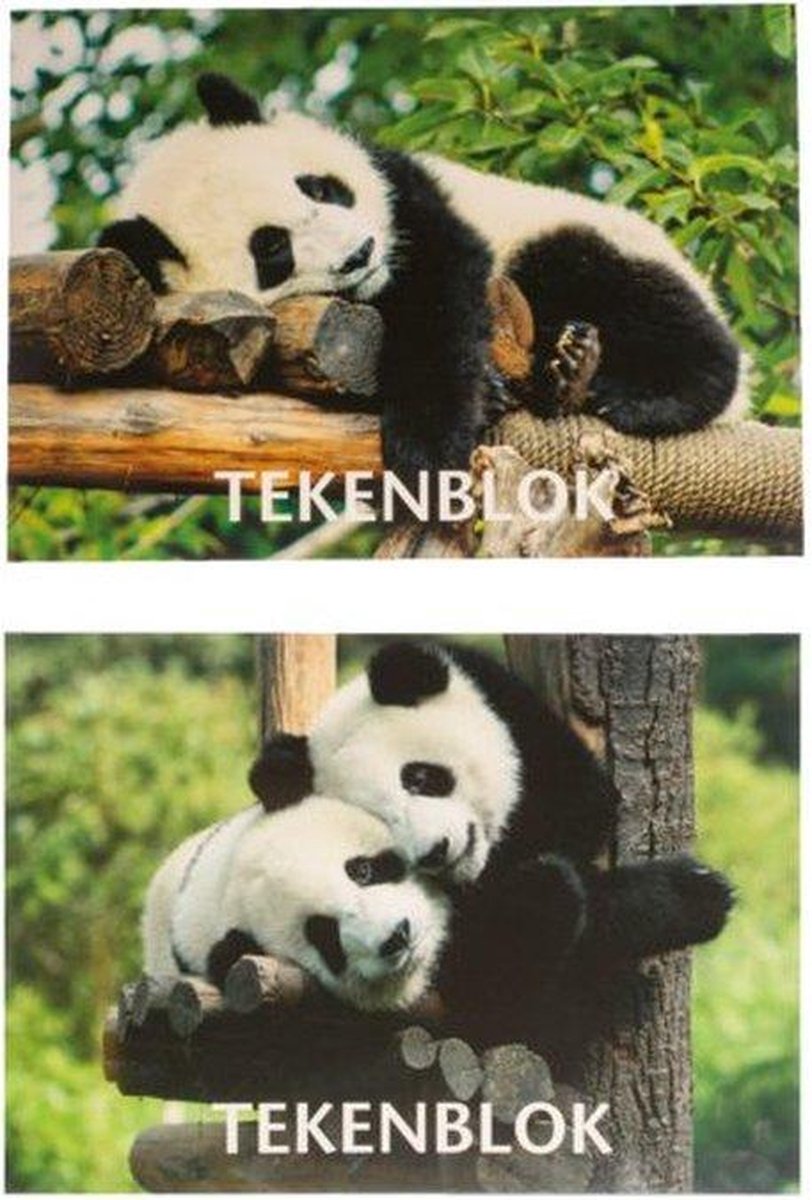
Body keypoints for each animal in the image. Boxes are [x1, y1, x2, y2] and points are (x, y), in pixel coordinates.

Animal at [99, 72, 748, 484]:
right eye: (273, 249)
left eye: (318, 187)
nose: (359, 253)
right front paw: (475, 404)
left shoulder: (407, 195)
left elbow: (442, 294)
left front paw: (430, 446)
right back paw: (564, 378)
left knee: (603, 278)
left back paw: (640, 391)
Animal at [249, 641, 734, 1051]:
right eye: (383, 824)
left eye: (419, 777)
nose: (436, 851)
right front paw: (693, 896)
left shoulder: (516, 717)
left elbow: (586, 807)